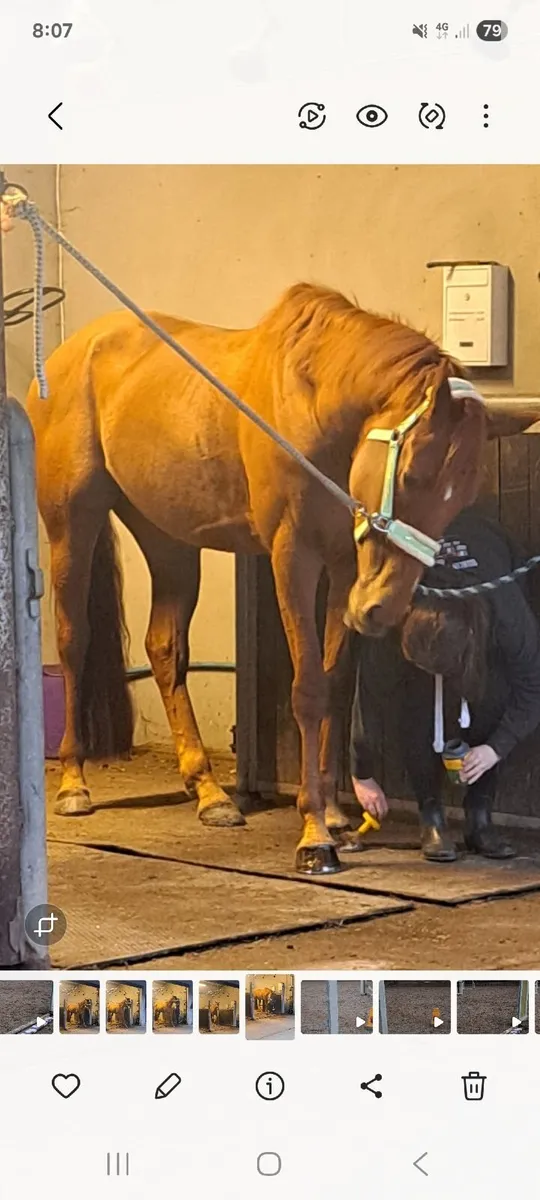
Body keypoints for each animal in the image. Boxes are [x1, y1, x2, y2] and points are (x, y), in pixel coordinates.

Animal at [29, 281, 503, 875]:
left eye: (460, 496)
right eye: (413, 474)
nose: (383, 608)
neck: (313, 406)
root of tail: (66, 355)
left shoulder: (342, 566)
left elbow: (335, 682)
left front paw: (336, 815)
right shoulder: (292, 557)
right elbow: (308, 689)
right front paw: (314, 834)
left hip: (169, 540)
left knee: (165, 648)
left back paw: (210, 792)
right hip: (73, 522)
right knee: (75, 643)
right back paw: (74, 782)